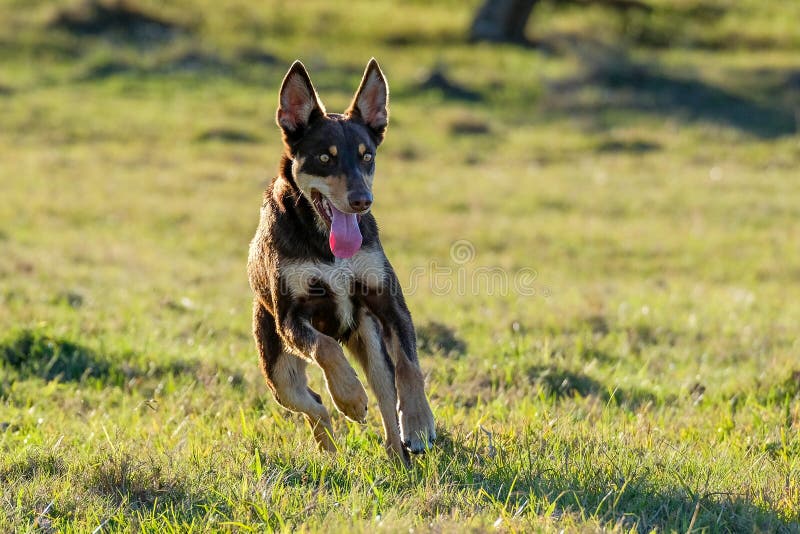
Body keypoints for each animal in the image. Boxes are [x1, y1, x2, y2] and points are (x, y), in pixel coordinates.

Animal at [248, 58, 438, 464]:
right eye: (325, 157)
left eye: (367, 157)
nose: (362, 201)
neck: (327, 244)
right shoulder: (291, 318)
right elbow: (325, 348)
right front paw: (349, 396)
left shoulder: (389, 304)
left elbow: (410, 368)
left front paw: (419, 422)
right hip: (277, 367)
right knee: (314, 403)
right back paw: (332, 446)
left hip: (370, 338)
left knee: (385, 395)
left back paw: (397, 454)